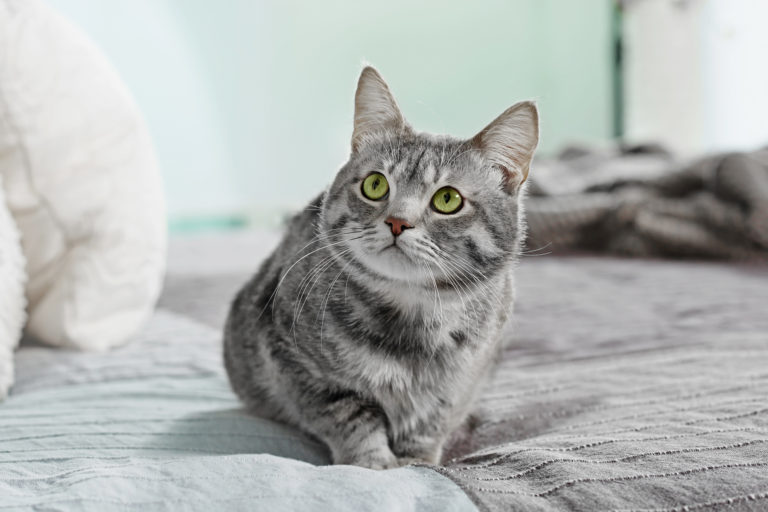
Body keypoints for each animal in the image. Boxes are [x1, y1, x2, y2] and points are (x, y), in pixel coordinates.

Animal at [224, 66, 540, 470]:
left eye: (448, 199)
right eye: (375, 184)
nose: (397, 221)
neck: (411, 323)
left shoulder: (467, 377)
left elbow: (433, 419)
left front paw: (418, 460)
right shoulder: (291, 360)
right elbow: (349, 414)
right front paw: (372, 461)